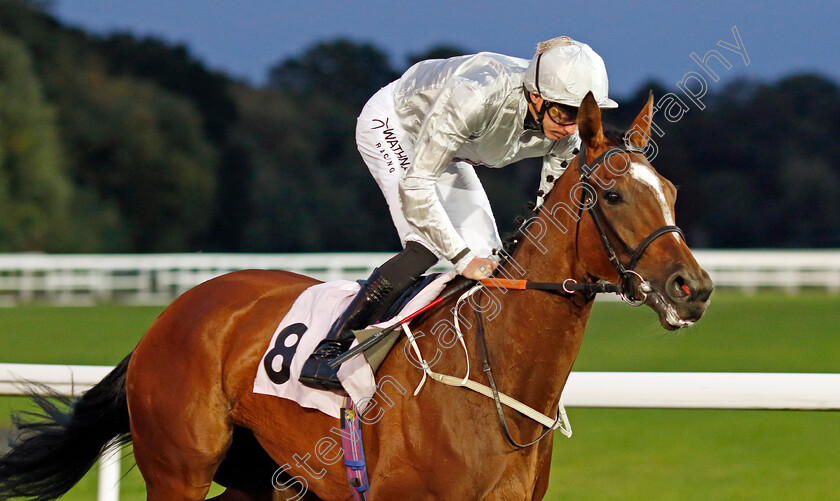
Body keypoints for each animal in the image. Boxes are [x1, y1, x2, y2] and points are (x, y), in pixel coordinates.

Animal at [0, 92, 708, 498]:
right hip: (179, 472)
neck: (495, 375)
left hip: (269, 481)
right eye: (612, 194)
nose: (693, 288)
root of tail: (170, 316)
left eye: (671, 191)